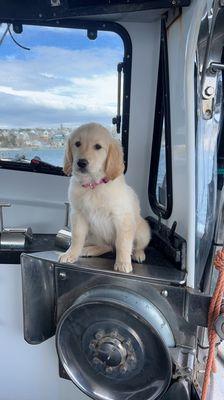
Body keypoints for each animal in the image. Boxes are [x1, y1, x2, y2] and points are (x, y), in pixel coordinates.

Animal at [59, 121, 150, 272]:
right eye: (77, 143)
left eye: (98, 147)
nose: (81, 162)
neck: (93, 185)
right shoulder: (78, 215)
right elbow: (76, 237)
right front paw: (71, 254)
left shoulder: (122, 218)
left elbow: (123, 243)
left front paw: (123, 263)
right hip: (93, 234)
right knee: (106, 246)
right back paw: (88, 250)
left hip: (142, 231)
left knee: (133, 246)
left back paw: (138, 254)